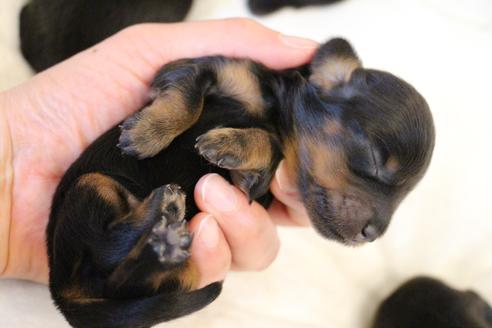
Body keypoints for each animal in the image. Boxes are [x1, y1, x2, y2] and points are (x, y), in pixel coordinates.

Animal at [48, 39, 436, 328]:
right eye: (373, 158)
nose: (374, 234)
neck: (273, 114)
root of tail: (62, 295)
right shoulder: (198, 68)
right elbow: (188, 96)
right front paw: (147, 133)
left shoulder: (254, 189)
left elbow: (270, 148)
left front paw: (229, 145)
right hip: (91, 184)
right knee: (108, 249)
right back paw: (161, 210)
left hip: (176, 274)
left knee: (124, 274)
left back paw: (165, 231)